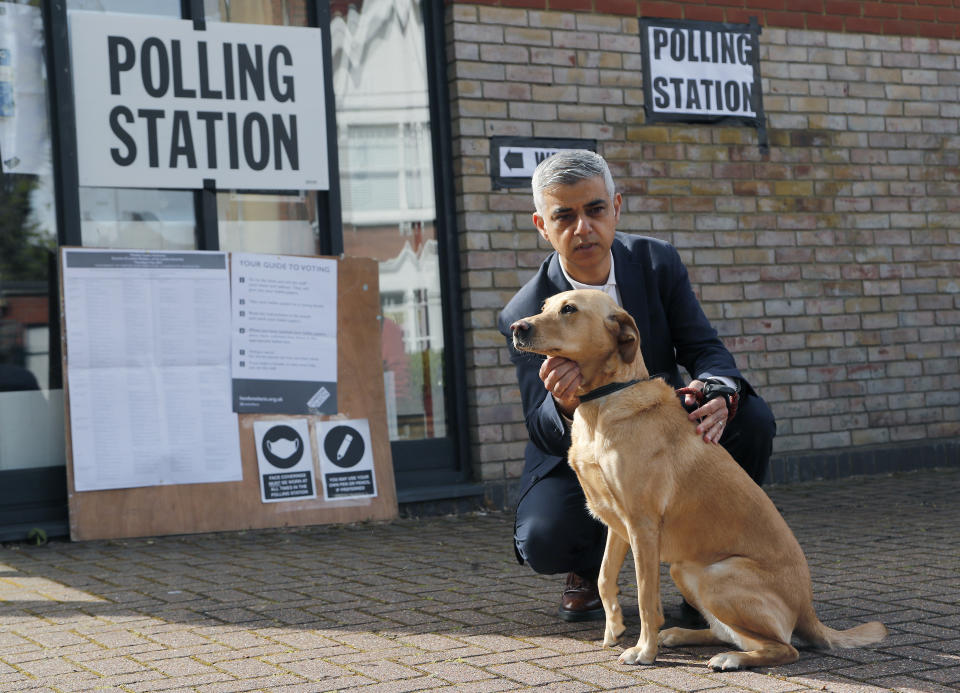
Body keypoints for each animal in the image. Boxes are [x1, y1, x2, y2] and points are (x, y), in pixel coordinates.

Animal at [510, 288, 884, 672]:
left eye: (569, 309)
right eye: (544, 306)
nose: (516, 327)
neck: (606, 398)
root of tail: (808, 611)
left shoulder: (642, 527)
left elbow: (645, 597)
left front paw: (643, 651)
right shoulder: (617, 524)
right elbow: (603, 577)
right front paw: (614, 628)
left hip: (717, 575)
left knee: (783, 647)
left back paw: (729, 658)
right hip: (684, 570)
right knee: (727, 631)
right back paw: (679, 635)